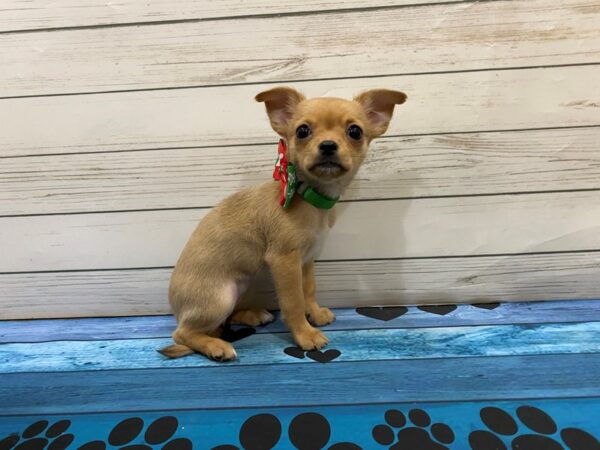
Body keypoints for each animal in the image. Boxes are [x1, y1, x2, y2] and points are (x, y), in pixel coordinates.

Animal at [159, 87, 406, 362]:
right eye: (302, 131)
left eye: (355, 132)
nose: (328, 145)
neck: (307, 196)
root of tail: (177, 309)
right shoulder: (285, 261)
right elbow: (294, 301)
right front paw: (305, 334)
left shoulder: (306, 261)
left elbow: (309, 289)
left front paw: (315, 314)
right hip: (221, 296)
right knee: (184, 333)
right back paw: (216, 346)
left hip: (240, 287)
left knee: (223, 321)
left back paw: (252, 315)